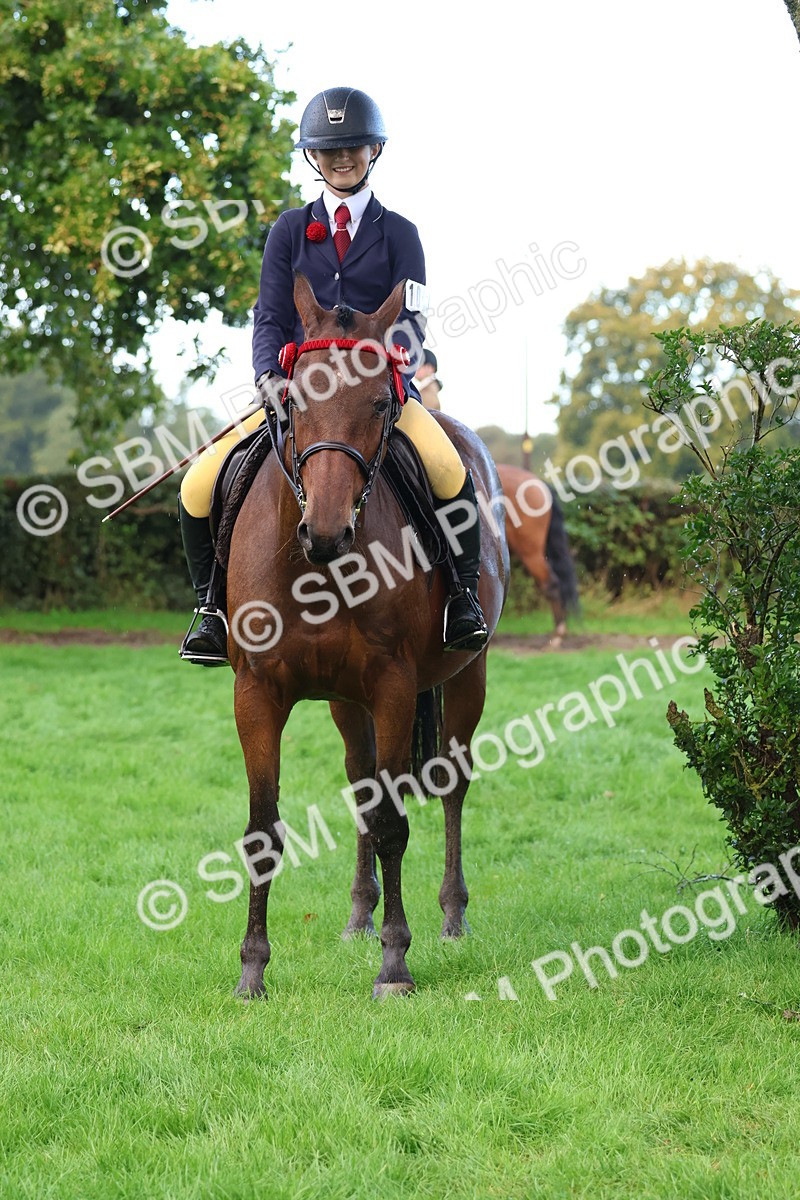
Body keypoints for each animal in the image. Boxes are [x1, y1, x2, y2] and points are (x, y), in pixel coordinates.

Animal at [226, 274, 509, 1000]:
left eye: (382, 400)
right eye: (295, 398)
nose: (327, 531)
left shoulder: (394, 687)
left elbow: (392, 823)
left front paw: (395, 965)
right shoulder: (256, 693)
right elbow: (263, 831)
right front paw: (252, 970)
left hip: (466, 676)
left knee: (450, 784)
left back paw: (451, 915)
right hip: (343, 702)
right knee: (360, 782)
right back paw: (358, 913)